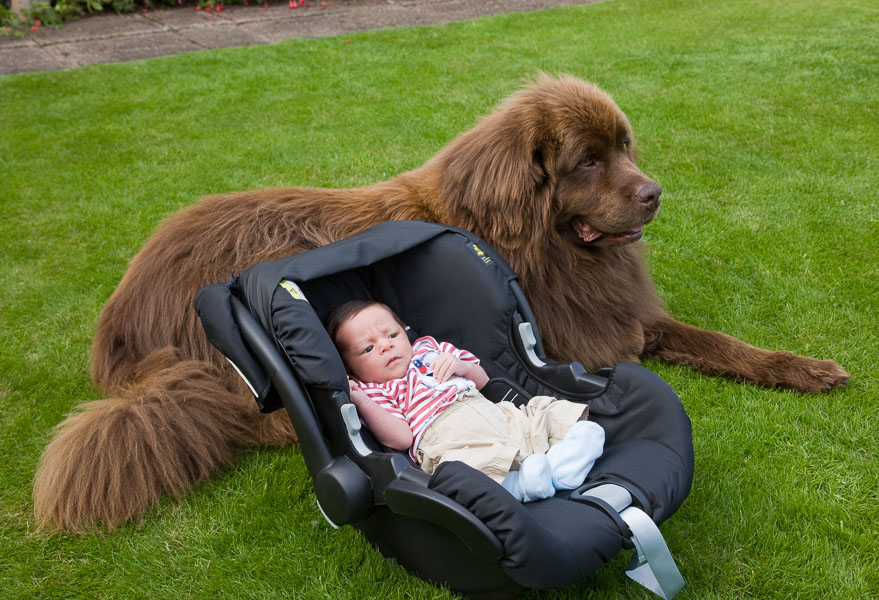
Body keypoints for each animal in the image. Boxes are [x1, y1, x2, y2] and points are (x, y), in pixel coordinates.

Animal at [32, 77, 844, 532]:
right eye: (587, 161)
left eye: (624, 147)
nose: (654, 193)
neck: (541, 246)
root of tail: (120, 316)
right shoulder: (582, 336)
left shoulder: (627, 317)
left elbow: (720, 342)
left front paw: (805, 368)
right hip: (217, 361)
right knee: (239, 418)